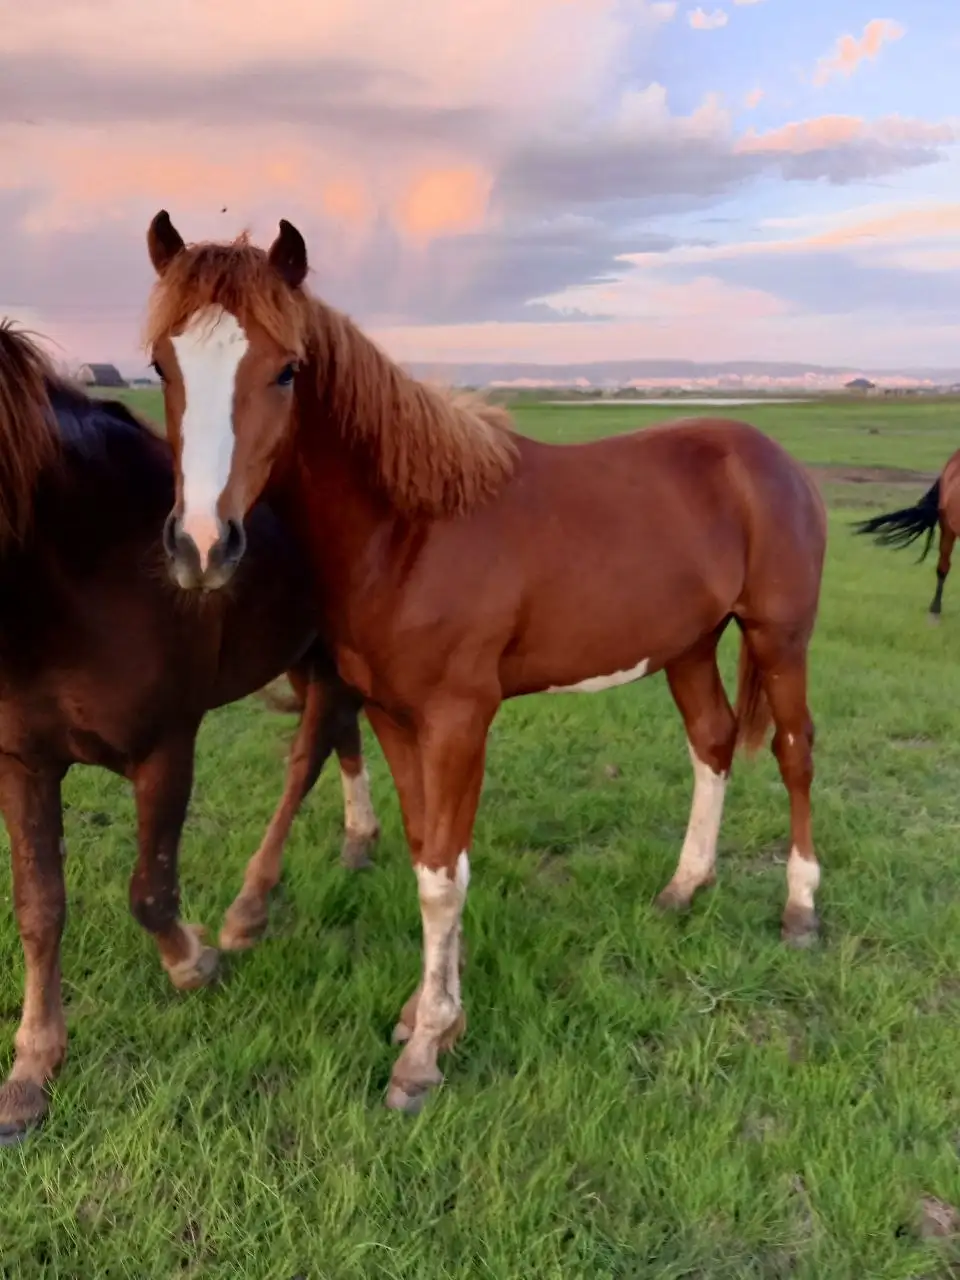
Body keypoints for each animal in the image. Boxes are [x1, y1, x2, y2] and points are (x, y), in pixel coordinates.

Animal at [0, 321, 381, 1143]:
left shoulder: (165, 747)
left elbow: (150, 888)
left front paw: (192, 961)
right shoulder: (24, 761)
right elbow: (39, 909)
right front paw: (32, 1067)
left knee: (310, 750)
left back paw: (251, 907)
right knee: (342, 733)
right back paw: (358, 839)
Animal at [142, 211, 828, 1114]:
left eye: (286, 369)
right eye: (161, 365)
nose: (202, 546)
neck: (411, 530)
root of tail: (773, 457)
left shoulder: (459, 721)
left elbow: (443, 876)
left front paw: (424, 1051)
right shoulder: (394, 717)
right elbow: (424, 848)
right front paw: (428, 1013)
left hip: (779, 638)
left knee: (793, 753)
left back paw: (800, 911)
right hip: (688, 644)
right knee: (712, 743)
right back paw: (685, 888)